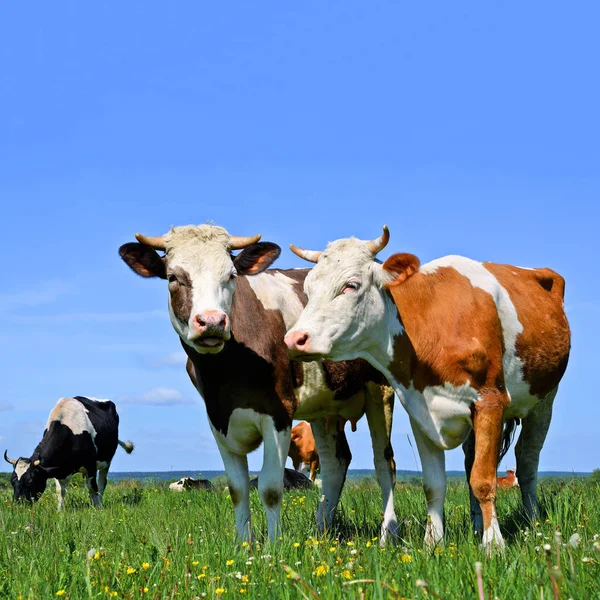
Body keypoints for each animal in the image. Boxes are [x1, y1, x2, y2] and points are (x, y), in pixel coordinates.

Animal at [2, 396, 134, 508]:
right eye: (12, 481)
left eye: (30, 482)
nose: (18, 505)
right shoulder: (57, 467)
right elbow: (60, 491)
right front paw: (60, 510)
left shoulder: (90, 464)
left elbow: (93, 487)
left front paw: (98, 509)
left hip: (106, 461)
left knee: (101, 483)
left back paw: (98, 503)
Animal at [118, 224, 398, 544]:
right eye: (173, 277)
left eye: (230, 275)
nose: (211, 321)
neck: (226, 372)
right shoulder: (218, 418)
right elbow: (237, 489)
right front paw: (243, 545)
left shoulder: (279, 413)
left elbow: (271, 488)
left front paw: (274, 546)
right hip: (325, 407)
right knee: (335, 463)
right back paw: (322, 531)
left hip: (381, 389)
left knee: (384, 463)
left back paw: (387, 534)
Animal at [286, 226, 572, 552]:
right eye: (308, 289)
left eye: (351, 285)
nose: (294, 339)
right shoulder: (419, 409)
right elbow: (434, 483)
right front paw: (433, 543)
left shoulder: (491, 401)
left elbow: (484, 480)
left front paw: (493, 544)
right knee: (472, 460)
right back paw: (477, 524)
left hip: (544, 400)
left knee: (526, 461)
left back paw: (531, 521)